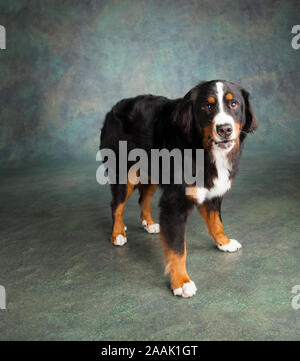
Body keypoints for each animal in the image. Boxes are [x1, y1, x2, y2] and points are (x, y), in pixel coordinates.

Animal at [100, 80, 258, 296]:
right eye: (207, 106)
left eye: (233, 104)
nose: (224, 129)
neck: (203, 149)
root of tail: (114, 107)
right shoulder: (175, 202)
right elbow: (177, 248)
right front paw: (181, 281)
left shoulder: (213, 193)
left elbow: (216, 222)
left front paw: (224, 242)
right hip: (125, 175)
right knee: (116, 205)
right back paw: (117, 234)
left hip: (152, 174)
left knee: (143, 199)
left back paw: (150, 223)